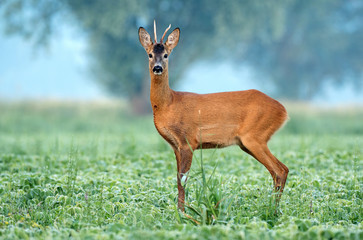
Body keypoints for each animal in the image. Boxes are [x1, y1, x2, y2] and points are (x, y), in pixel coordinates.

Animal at [139, 21, 290, 211]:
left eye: (166, 55)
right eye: (150, 54)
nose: (157, 68)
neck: (169, 104)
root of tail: (283, 110)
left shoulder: (188, 141)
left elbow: (183, 179)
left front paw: (183, 212)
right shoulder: (175, 146)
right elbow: (177, 178)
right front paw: (180, 210)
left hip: (255, 136)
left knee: (279, 170)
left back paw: (273, 210)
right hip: (247, 143)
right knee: (281, 169)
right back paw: (273, 209)